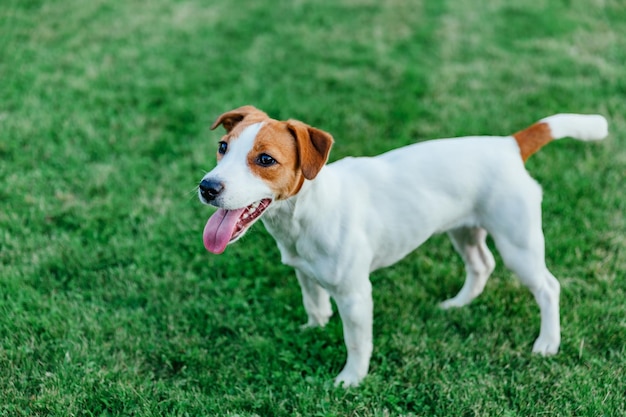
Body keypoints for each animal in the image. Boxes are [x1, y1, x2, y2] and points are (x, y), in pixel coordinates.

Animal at [196, 105, 604, 386]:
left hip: (518, 244)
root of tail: (509, 145)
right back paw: (457, 304)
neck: (308, 210)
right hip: (464, 231)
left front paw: (351, 379)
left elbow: (357, 342)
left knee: (548, 287)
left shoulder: (355, 296)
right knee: (481, 265)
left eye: (266, 159)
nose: (207, 187)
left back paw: (547, 342)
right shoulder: (305, 275)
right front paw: (314, 328)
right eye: (222, 147)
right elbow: (314, 305)